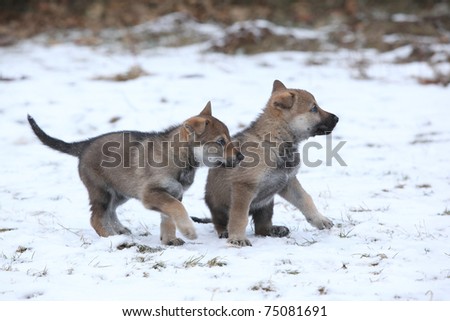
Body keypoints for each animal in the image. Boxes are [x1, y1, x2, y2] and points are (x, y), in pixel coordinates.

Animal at [28, 102, 243, 245]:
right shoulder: (152, 194)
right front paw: (188, 231)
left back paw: (120, 230)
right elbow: (177, 210)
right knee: (96, 218)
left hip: (121, 192)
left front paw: (170, 240)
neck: (179, 157)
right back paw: (110, 238)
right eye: (221, 141)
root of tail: (84, 146)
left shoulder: (173, 193)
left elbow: (168, 217)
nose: (241, 156)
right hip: (102, 192)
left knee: (110, 212)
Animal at [203, 80, 338, 245]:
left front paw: (320, 220)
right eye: (313, 108)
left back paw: (276, 230)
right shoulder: (243, 187)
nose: (337, 118)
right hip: (221, 208)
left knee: (262, 228)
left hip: (267, 204)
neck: (274, 141)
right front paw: (238, 238)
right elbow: (239, 216)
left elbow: (305, 199)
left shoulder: (288, 182)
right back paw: (224, 231)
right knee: (219, 222)